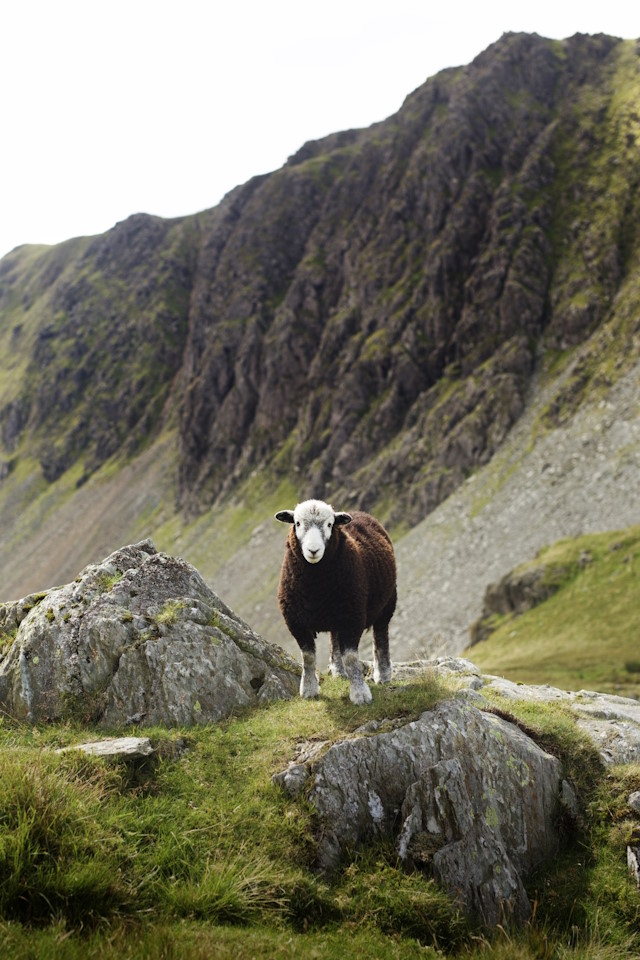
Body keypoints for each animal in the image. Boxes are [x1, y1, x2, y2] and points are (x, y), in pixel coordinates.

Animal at [275, 499, 397, 705]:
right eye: (297, 523)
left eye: (330, 525)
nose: (313, 550)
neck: (315, 588)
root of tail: (359, 512)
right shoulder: (296, 621)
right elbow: (308, 657)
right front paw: (308, 690)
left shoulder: (353, 617)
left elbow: (351, 657)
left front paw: (360, 694)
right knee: (334, 637)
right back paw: (339, 671)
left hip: (387, 603)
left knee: (381, 636)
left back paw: (383, 674)